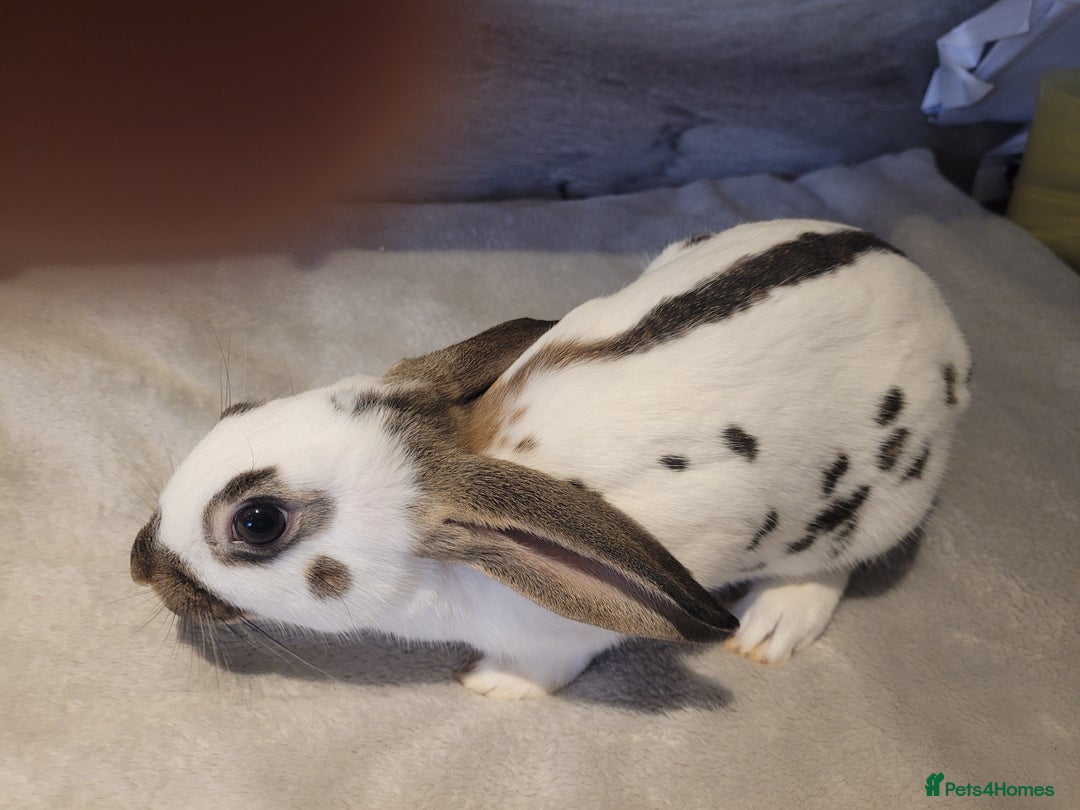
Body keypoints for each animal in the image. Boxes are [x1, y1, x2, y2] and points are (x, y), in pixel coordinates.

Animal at [132, 218, 971, 700]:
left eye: (258, 522)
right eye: (239, 410)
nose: (141, 564)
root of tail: (935, 309)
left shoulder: (574, 628)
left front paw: (493, 686)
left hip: (876, 507)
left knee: (835, 566)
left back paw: (772, 627)